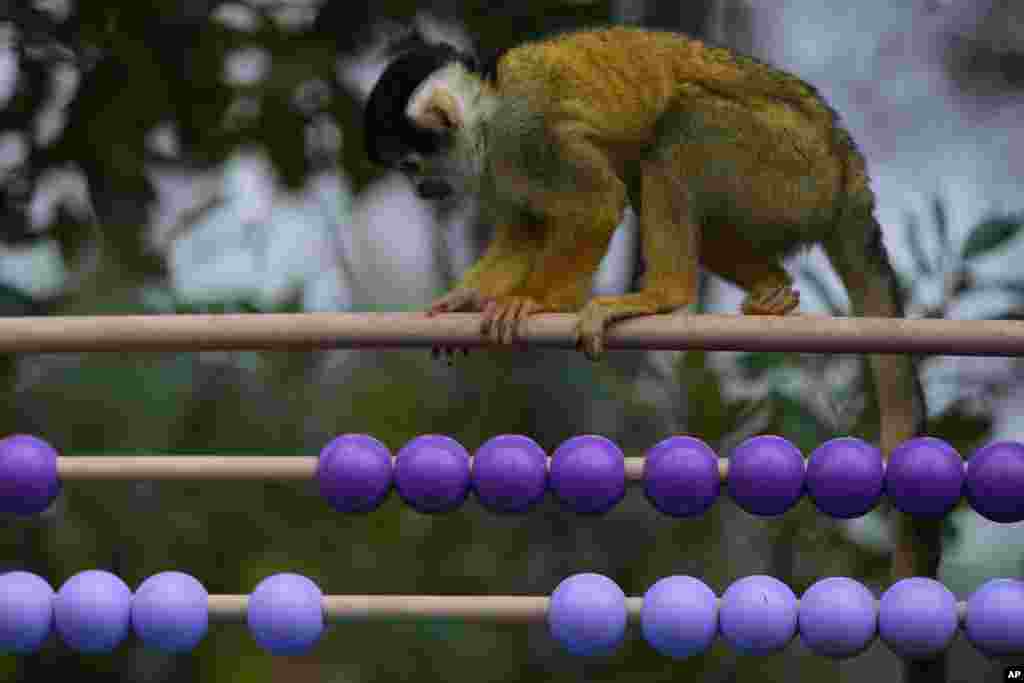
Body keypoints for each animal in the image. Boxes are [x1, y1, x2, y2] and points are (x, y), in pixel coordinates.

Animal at [364, 25, 925, 454]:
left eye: (411, 165)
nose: (420, 189)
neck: (487, 114)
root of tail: (844, 159)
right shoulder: (502, 168)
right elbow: (525, 230)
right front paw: (466, 298)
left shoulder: (527, 137)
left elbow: (596, 203)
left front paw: (536, 302)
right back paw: (772, 287)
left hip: (791, 165)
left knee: (678, 130)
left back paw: (663, 296)